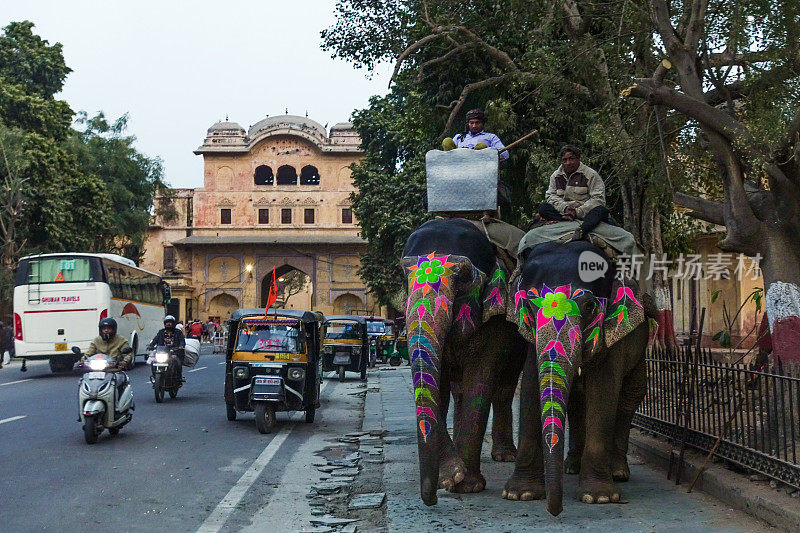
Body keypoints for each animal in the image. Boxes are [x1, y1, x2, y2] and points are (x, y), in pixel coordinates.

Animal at [404, 218, 528, 504]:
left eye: (462, 278)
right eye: (404, 275)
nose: (431, 499)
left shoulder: (496, 321)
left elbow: (480, 378)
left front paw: (466, 485)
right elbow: (437, 385)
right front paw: (449, 478)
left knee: (504, 388)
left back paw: (505, 456)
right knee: (460, 392)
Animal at [504, 239, 652, 512]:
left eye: (590, 306)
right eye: (528, 306)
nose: (556, 510)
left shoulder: (611, 335)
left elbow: (603, 391)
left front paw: (599, 497)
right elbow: (530, 385)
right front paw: (520, 494)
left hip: (640, 351)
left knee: (629, 399)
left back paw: (618, 473)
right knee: (576, 403)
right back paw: (571, 467)